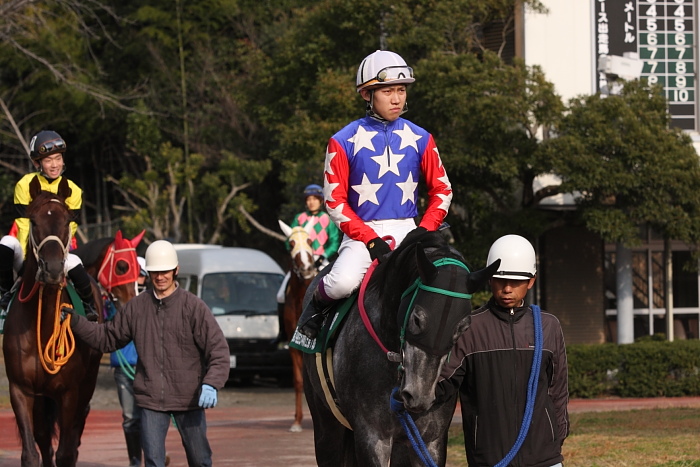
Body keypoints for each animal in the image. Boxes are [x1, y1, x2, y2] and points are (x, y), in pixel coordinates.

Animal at [1, 177, 102, 466]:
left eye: (67, 220)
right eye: (34, 221)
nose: (54, 268)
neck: (43, 326)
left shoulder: (69, 392)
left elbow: (66, 452)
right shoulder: (22, 390)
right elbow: (33, 452)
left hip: (87, 385)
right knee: (44, 439)